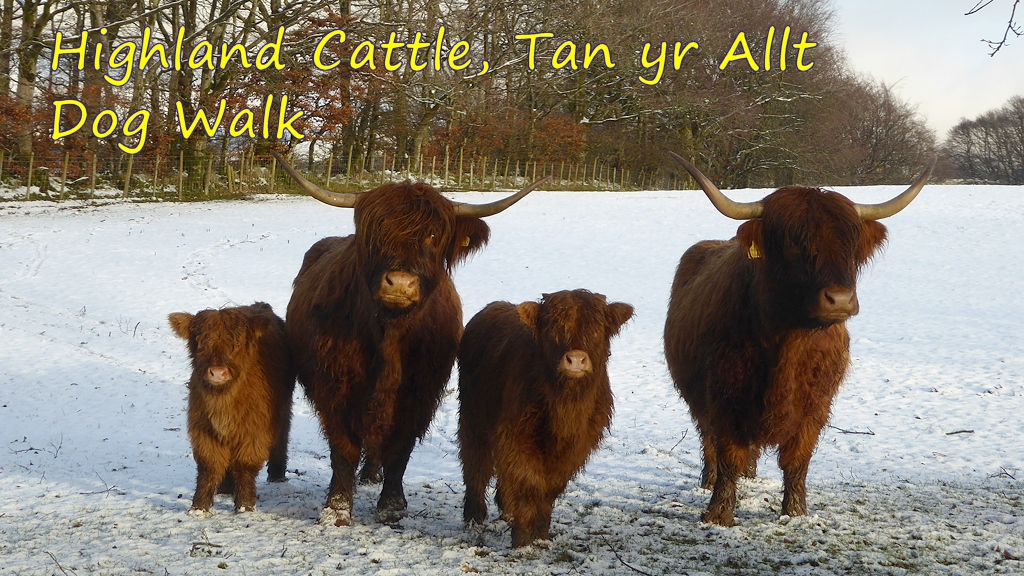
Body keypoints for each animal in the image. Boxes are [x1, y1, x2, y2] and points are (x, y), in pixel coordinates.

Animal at [268, 151, 548, 524]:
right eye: (376, 232)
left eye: (433, 236)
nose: (400, 283)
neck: (389, 335)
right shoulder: (334, 386)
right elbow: (343, 446)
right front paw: (337, 507)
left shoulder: (420, 391)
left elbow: (400, 447)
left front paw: (391, 504)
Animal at [458, 289, 630, 545]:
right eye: (554, 327)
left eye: (597, 328)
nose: (576, 359)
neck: (564, 408)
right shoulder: (516, 436)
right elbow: (529, 482)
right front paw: (523, 540)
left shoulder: (577, 446)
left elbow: (550, 488)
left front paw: (540, 535)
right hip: (473, 416)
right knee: (476, 463)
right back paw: (474, 517)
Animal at [659, 151, 933, 524]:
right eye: (792, 243)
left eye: (850, 244)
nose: (839, 299)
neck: (786, 343)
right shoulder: (725, 398)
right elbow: (728, 454)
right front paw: (718, 514)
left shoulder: (816, 405)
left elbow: (797, 460)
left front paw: (796, 512)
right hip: (698, 399)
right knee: (709, 441)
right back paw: (709, 480)